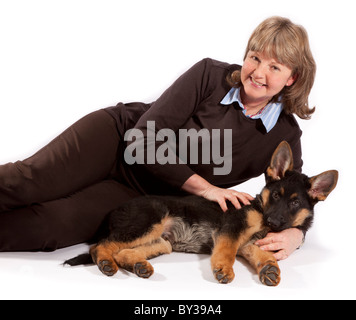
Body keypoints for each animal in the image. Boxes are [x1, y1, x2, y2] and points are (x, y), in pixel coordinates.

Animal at [65, 141, 338, 286]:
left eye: (295, 203)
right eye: (277, 196)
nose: (273, 221)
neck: (261, 210)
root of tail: (115, 211)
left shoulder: (249, 244)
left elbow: (263, 254)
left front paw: (269, 268)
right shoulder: (231, 230)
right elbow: (226, 251)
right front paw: (223, 269)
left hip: (162, 242)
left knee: (122, 252)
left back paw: (139, 266)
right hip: (149, 222)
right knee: (101, 246)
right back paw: (105, 263)